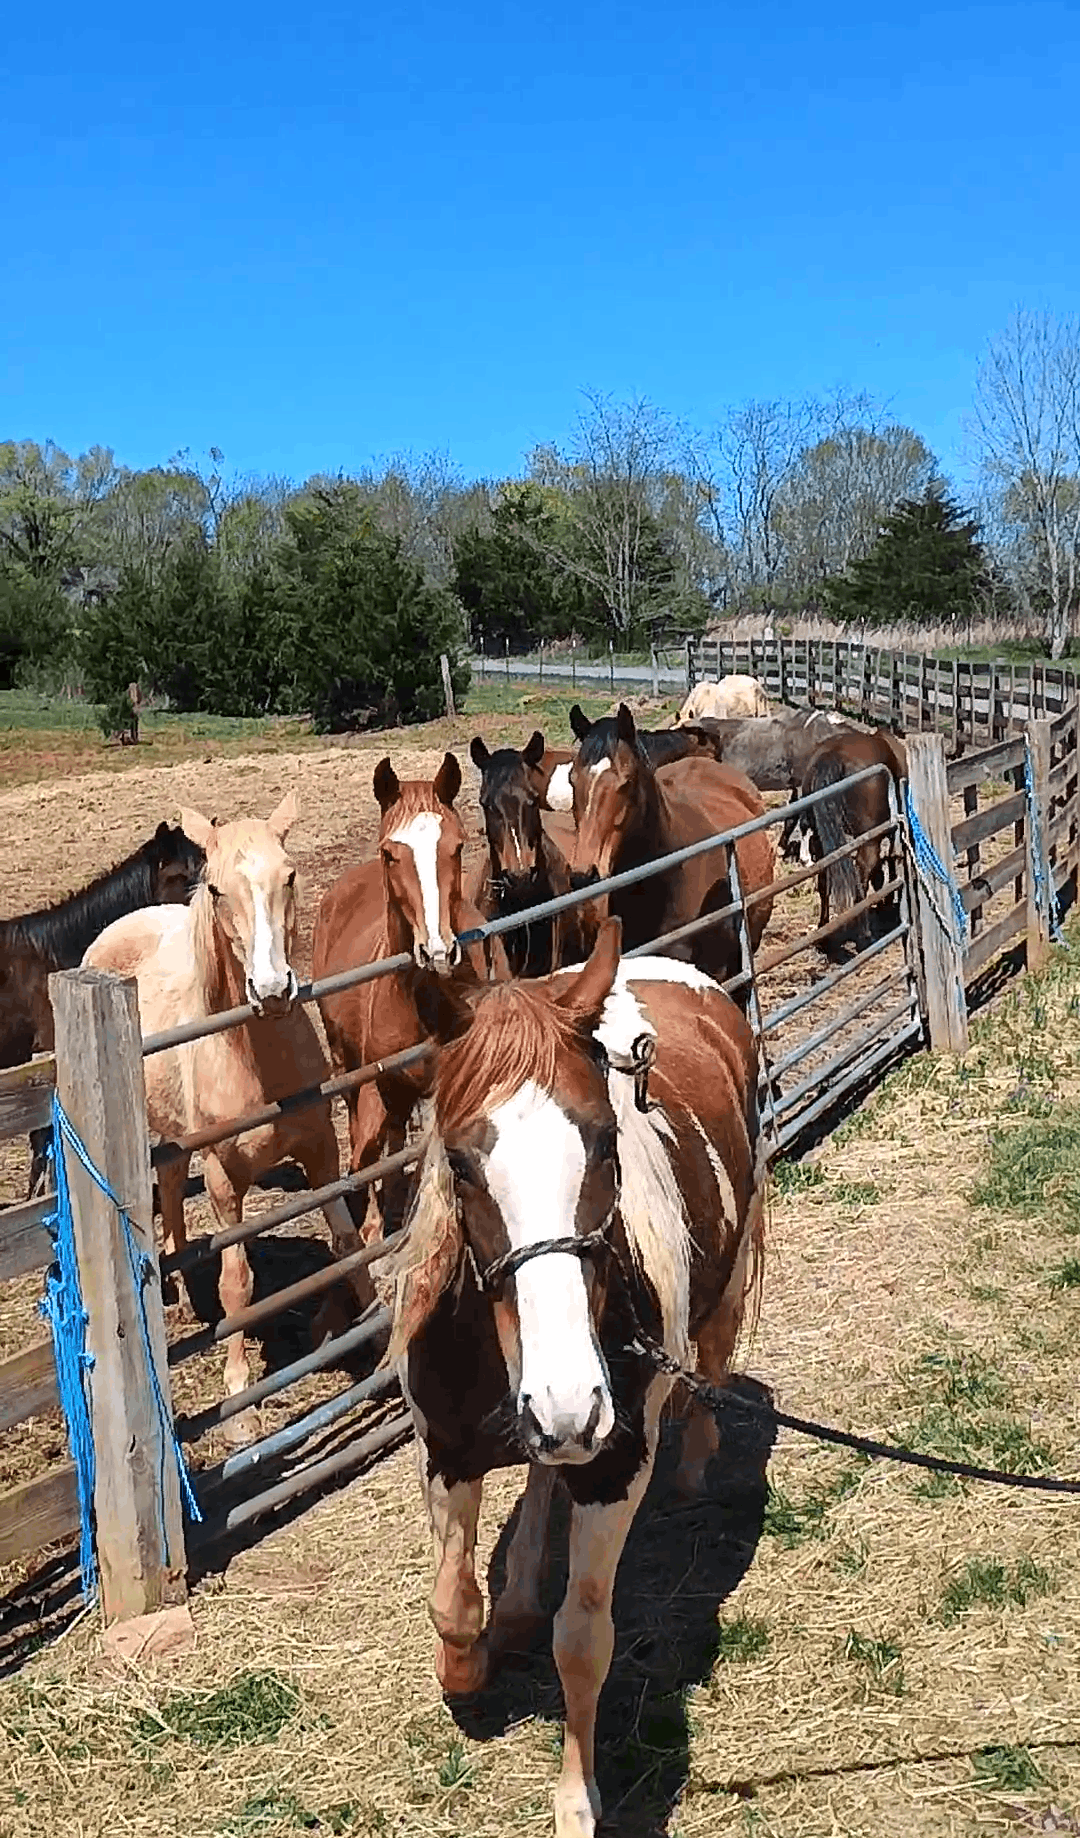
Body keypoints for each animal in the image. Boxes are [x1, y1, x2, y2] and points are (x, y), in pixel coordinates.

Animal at [84, 795, 369, 1440]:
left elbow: (347, 1241)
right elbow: (237, 1281)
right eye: (215, 889)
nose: (272, 989)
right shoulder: (223, 1180)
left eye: (289, 875)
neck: (256, 1059)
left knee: (168, 1184)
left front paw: (377, 1322)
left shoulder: (321, 1150)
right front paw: (240, 1397)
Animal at [313, 754, 492, 1238]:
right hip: (347, 1063)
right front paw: (374, 1228)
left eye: (458, 847)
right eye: (391, 853)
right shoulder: (377, 1081)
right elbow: (370, 1151)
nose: (437, 950)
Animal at [378, 917, 766, 1837]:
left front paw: (575, 1800)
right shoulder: (449, 1450)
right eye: (460, 1162)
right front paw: (469, 1668)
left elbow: (583, 1639)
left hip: (721, 1291)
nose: (568, 1402)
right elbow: (453, 1607)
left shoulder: (614, 1464)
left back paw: (694, 1465)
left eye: (602, 1137)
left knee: (708, 1367)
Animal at [783, 728, 907, 951]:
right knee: (864, 869)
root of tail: (832, 756)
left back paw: (824, 933)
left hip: (823, 839)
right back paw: (864, 934)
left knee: (825, 876)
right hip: (868, 839)